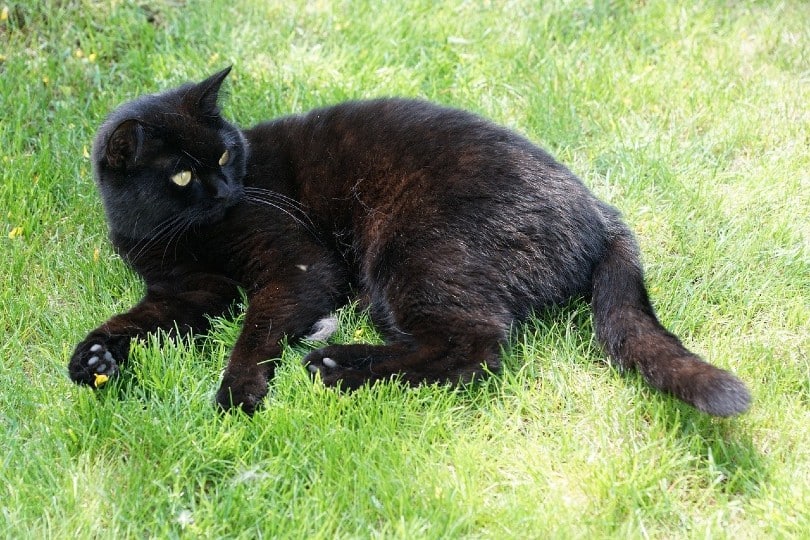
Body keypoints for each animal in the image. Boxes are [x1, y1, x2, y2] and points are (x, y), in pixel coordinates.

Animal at [66, 65, 748, 416]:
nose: (227, 187)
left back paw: (335, 366)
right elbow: (137, 319)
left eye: (226, 153)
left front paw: (237, 392)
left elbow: (256, 327)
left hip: (411, 254)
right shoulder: (188, 290)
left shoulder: (299, 263)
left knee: (472, 349)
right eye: (183, 174)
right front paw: (93, 360)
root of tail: (599, 210)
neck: (177, 234)